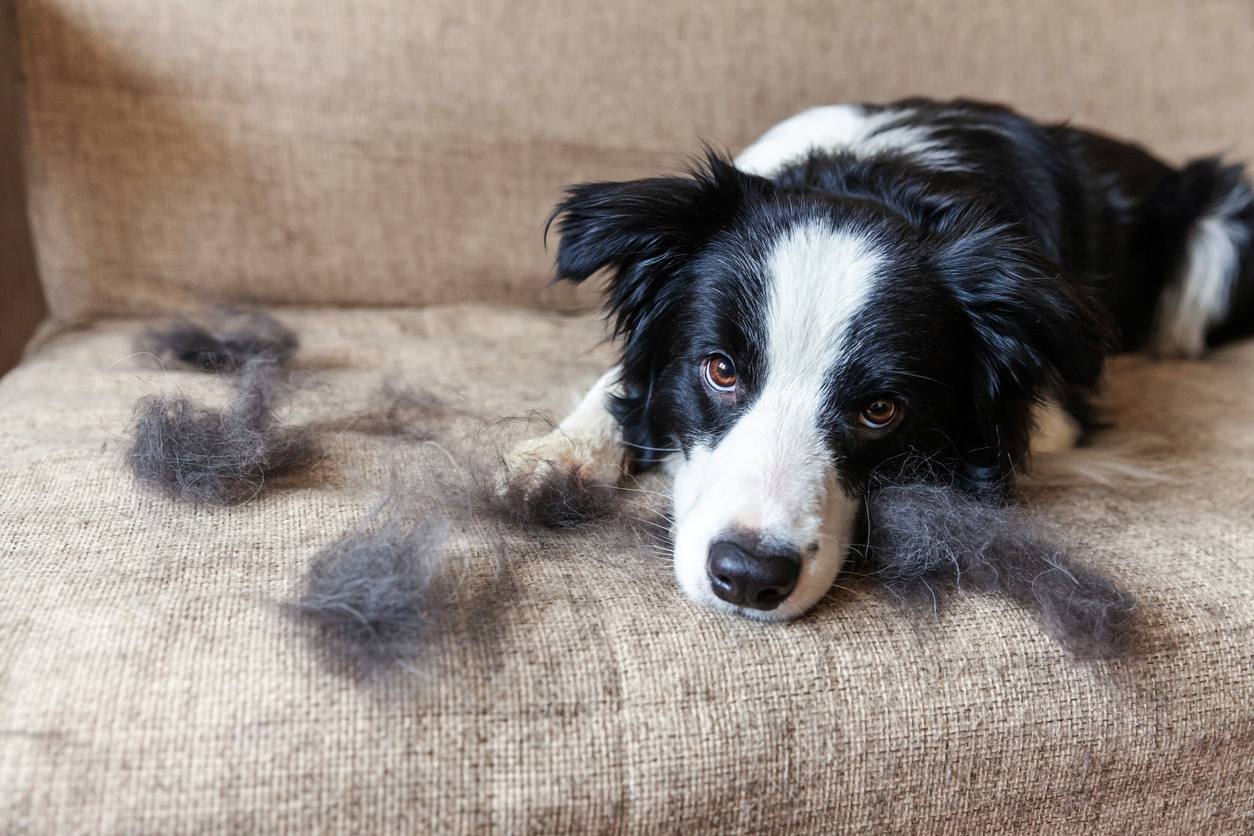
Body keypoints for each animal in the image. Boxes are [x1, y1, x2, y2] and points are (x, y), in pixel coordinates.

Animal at [501, 96, 1254, 621]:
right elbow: (620, 384)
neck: (873, 180)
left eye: (881, 409)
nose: (748, 578)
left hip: (1219, 229)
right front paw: (559, 456)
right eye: (720, 370)